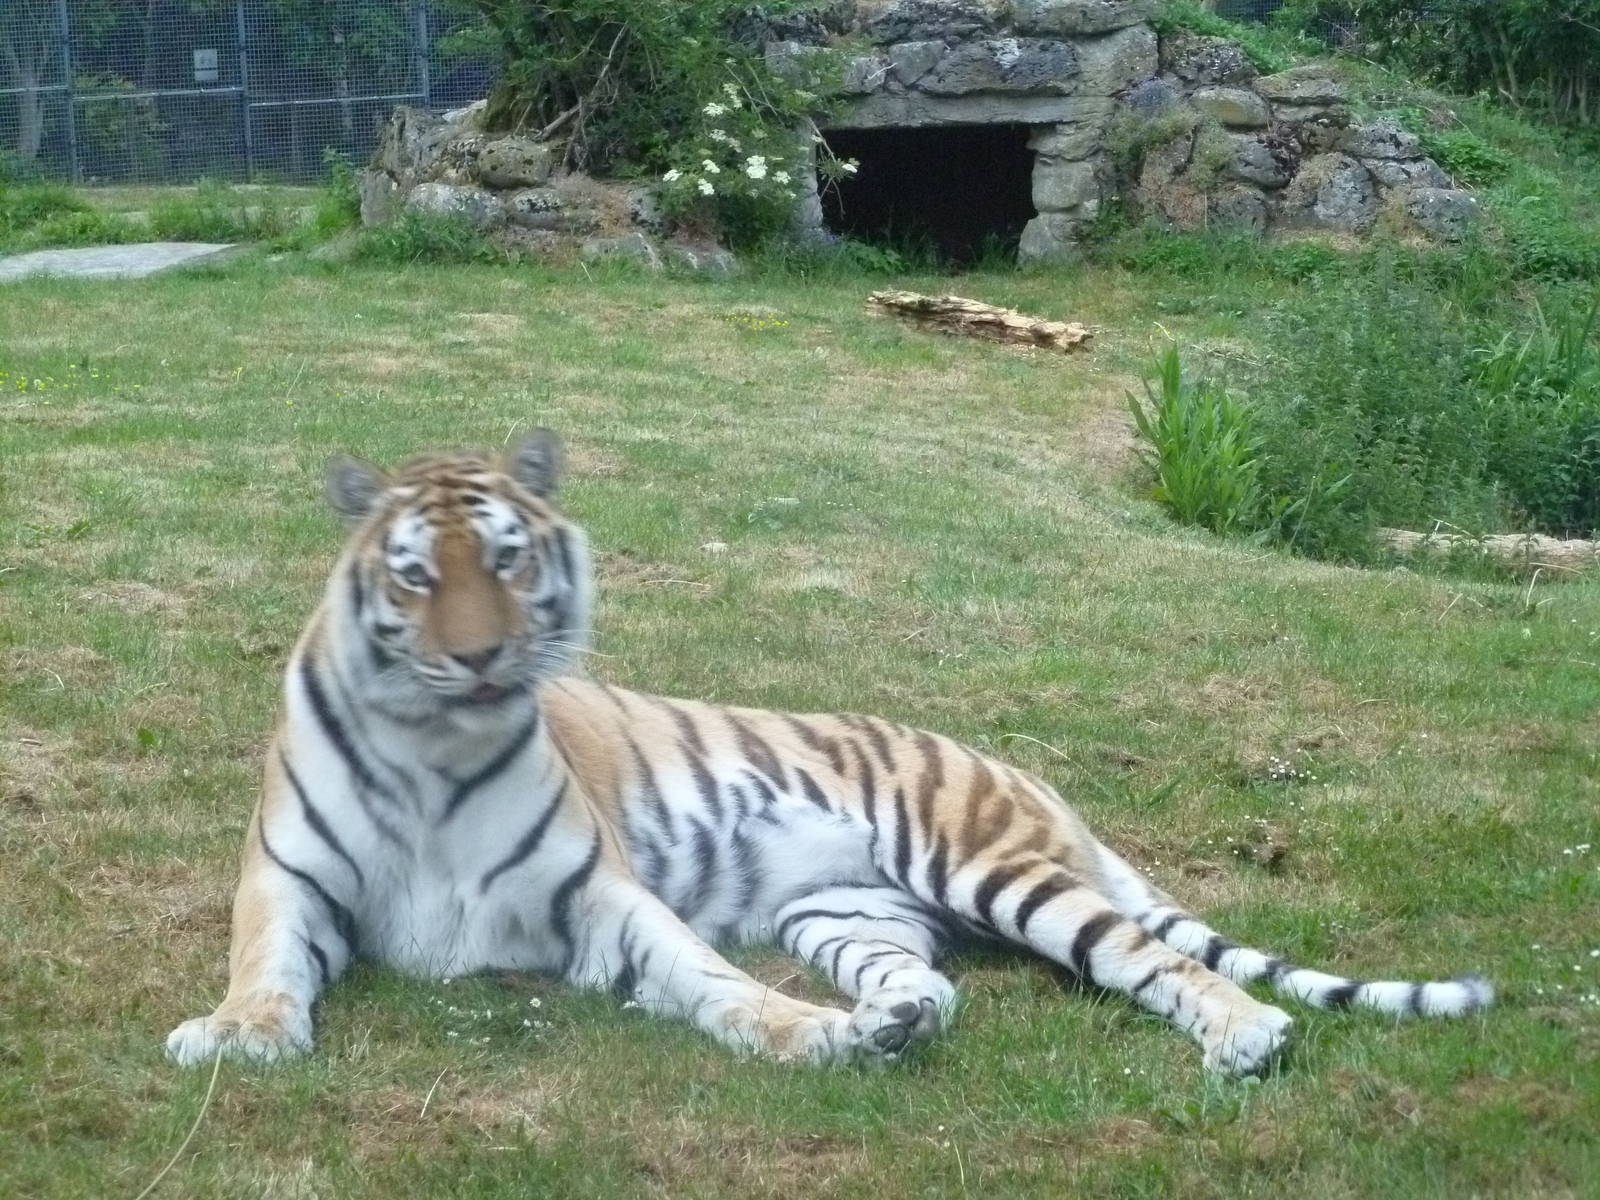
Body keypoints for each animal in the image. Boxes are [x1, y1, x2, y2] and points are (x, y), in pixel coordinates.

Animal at [166, 433, 1492, 1075]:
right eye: (414, 576)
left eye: (506, 558)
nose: (485, 657)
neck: (440, 749)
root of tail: (1030, 773)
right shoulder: (285, 882)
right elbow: (263, 964)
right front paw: (238, 1037)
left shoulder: (602, 898)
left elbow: (714, 984)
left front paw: (805, 1040)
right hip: (849, 913)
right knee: (938, 983)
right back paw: (894, 1019)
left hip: (988, 866)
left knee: (1146, 959)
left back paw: (1244, 1039)